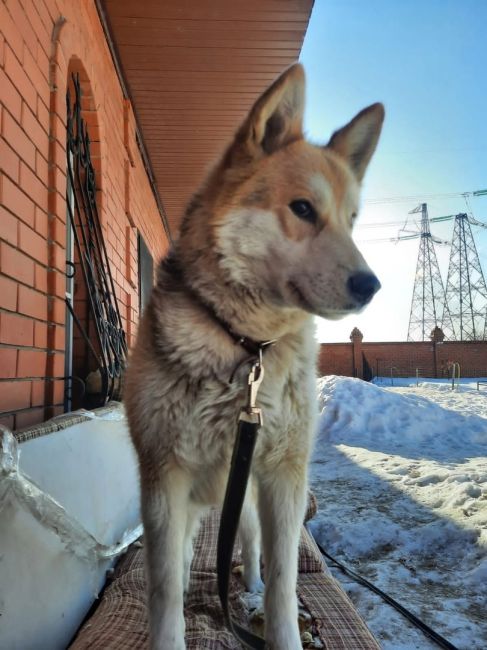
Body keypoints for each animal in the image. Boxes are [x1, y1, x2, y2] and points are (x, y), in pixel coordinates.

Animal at [126, 62, 386, 648]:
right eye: (303, 209)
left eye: (352, 220)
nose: (371, 285)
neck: (246, 346)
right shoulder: (162, 477)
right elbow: (162, 587)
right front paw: (171, 620)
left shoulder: (282, 477)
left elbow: (285, 585)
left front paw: (279, 623)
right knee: (183, 552)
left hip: (242, 499)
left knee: (247, 547)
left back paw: (245, 586)